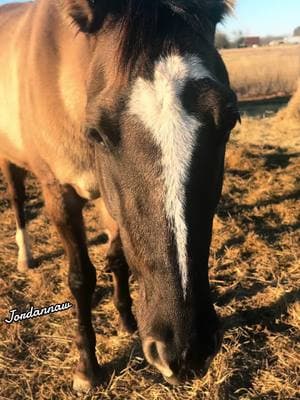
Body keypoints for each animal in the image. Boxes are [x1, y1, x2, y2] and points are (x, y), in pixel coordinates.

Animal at [0, 0, 239, 392]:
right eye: (96, 131)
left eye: (231, 119)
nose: (186, 349)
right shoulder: (59, 195)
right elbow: (81, 278)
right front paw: (87, 368)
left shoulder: (111, 202)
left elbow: (119, 257)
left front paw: (126, 318)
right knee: (18, 200)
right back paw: (25, 256)